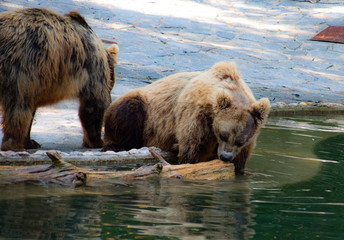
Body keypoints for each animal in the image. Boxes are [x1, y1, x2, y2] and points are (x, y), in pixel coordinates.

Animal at [0, 8, 119, 151]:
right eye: (111, 82)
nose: (111, 93)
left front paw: (31, 141)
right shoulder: (92, 66)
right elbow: (94, 104)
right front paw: (96, 141)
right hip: (21, 67)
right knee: (18, 108)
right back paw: (13, 145)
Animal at [103, 62, 270, 174]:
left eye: (240, 140)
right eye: (223, 135)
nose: (225, 156)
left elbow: (240, 161)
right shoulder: (196, 116)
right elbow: (192, 150)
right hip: (145, 109)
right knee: (128, 110)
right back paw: (116, 145)